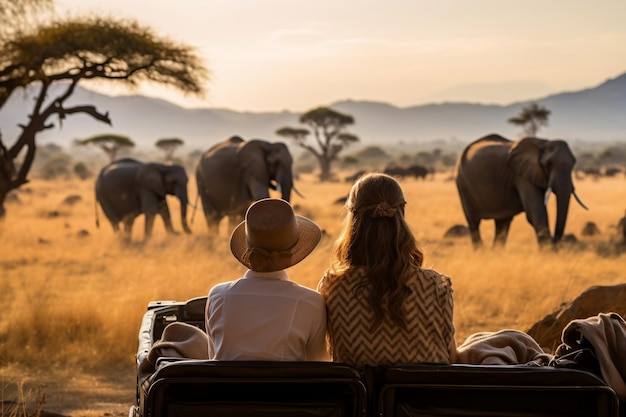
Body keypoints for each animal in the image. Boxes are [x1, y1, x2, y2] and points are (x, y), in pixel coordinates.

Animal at [454, 135, 584, 249]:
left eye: (573, 163)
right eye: (548, 164)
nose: (556, 243)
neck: (543, 142)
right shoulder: (521, 175)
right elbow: (535, 211)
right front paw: (549, 254)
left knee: (502, 223)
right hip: (462, 183)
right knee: (474, 222)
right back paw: (481, 253)